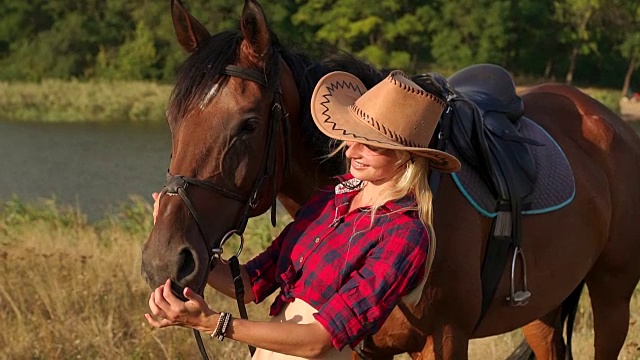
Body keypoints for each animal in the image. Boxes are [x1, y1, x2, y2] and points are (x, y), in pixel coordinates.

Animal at [142, 1, 640, 358]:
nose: (164, 262)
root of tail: (611, 123)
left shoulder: (445, 339)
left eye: (247, 124)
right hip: (543, 308)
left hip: (613, 298)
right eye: (172, 118)